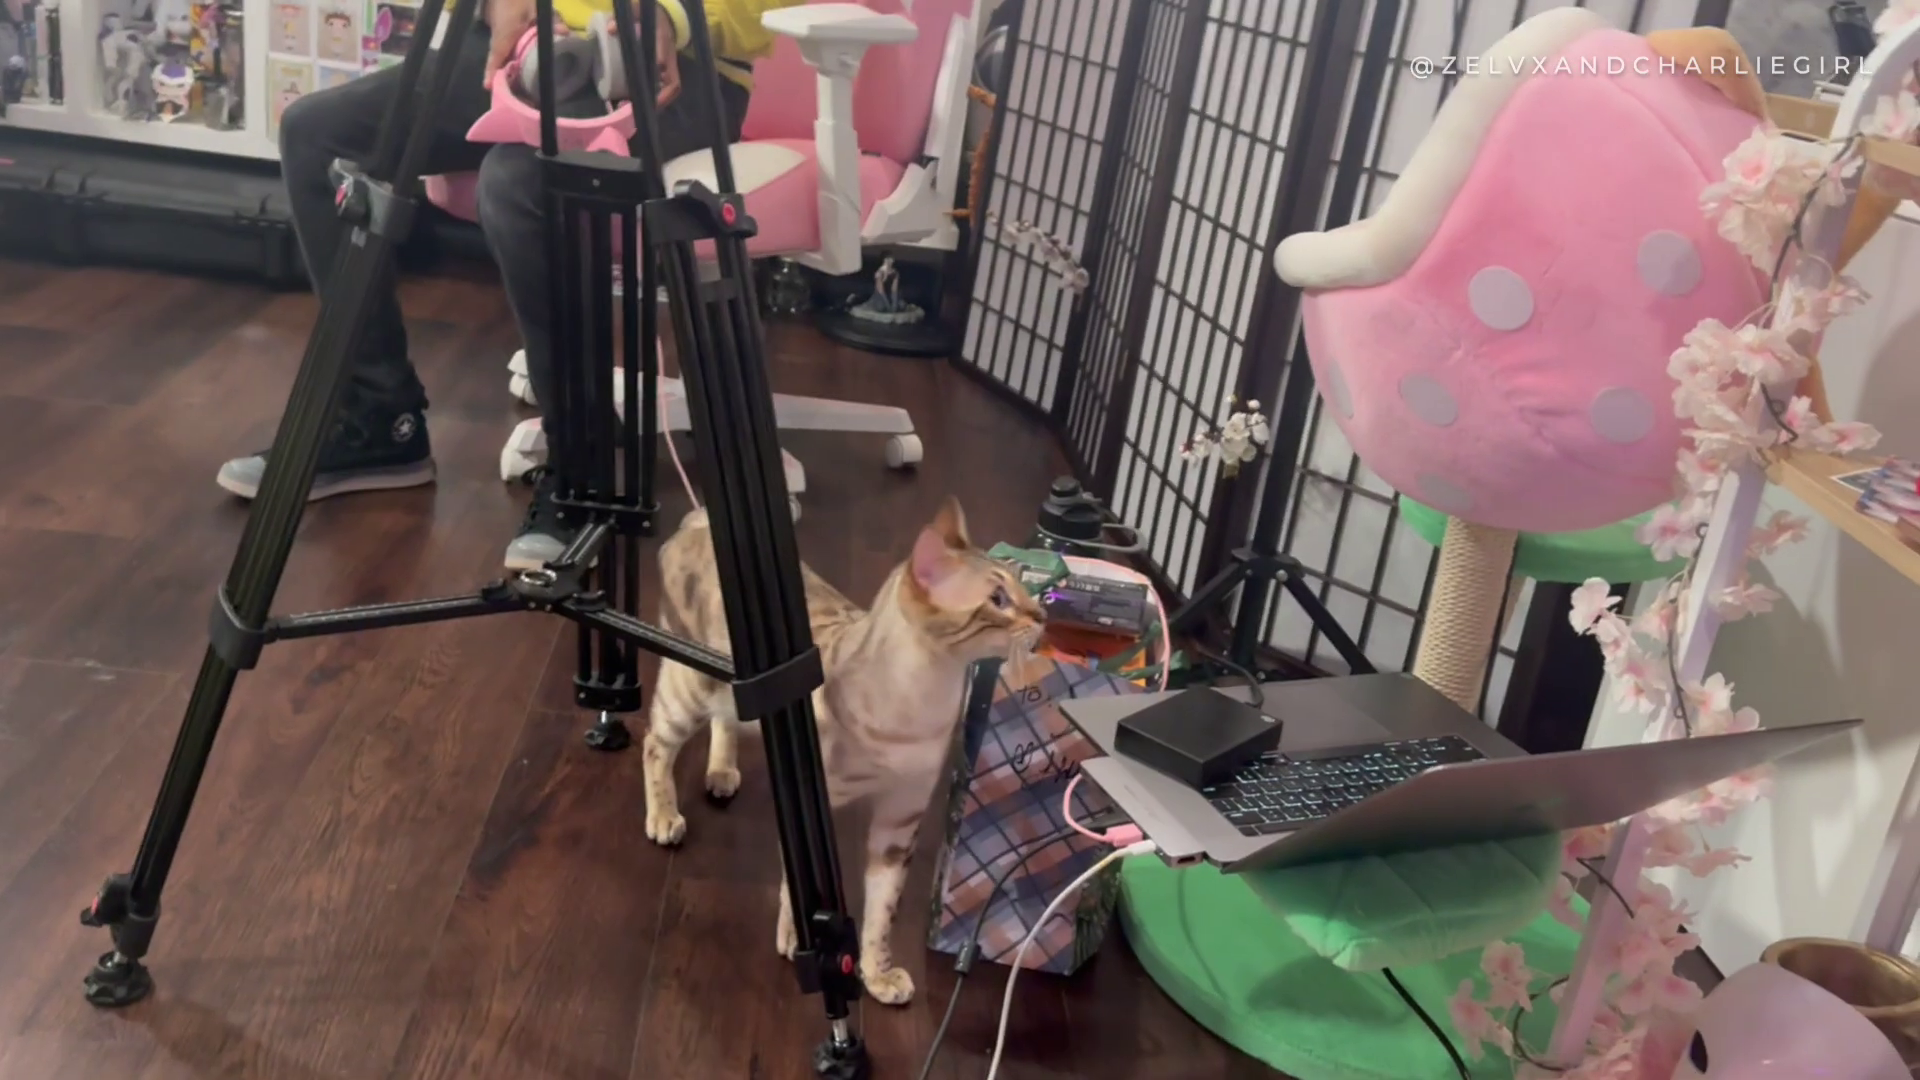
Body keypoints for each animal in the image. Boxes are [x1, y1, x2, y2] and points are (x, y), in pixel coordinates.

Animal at [641, 496, 1046, 1005]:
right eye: (998, 600)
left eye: (1023, 587)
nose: (1043, 616)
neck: (919, 707)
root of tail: (699, 522)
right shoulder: (811, 806)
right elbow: (802, 891)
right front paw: (797, 940)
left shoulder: (900, 819)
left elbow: (881, 910)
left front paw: (877, 974)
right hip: (690, 688)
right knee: (655, 743)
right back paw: (662, 816)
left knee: (723, 721)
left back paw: (721, 772)